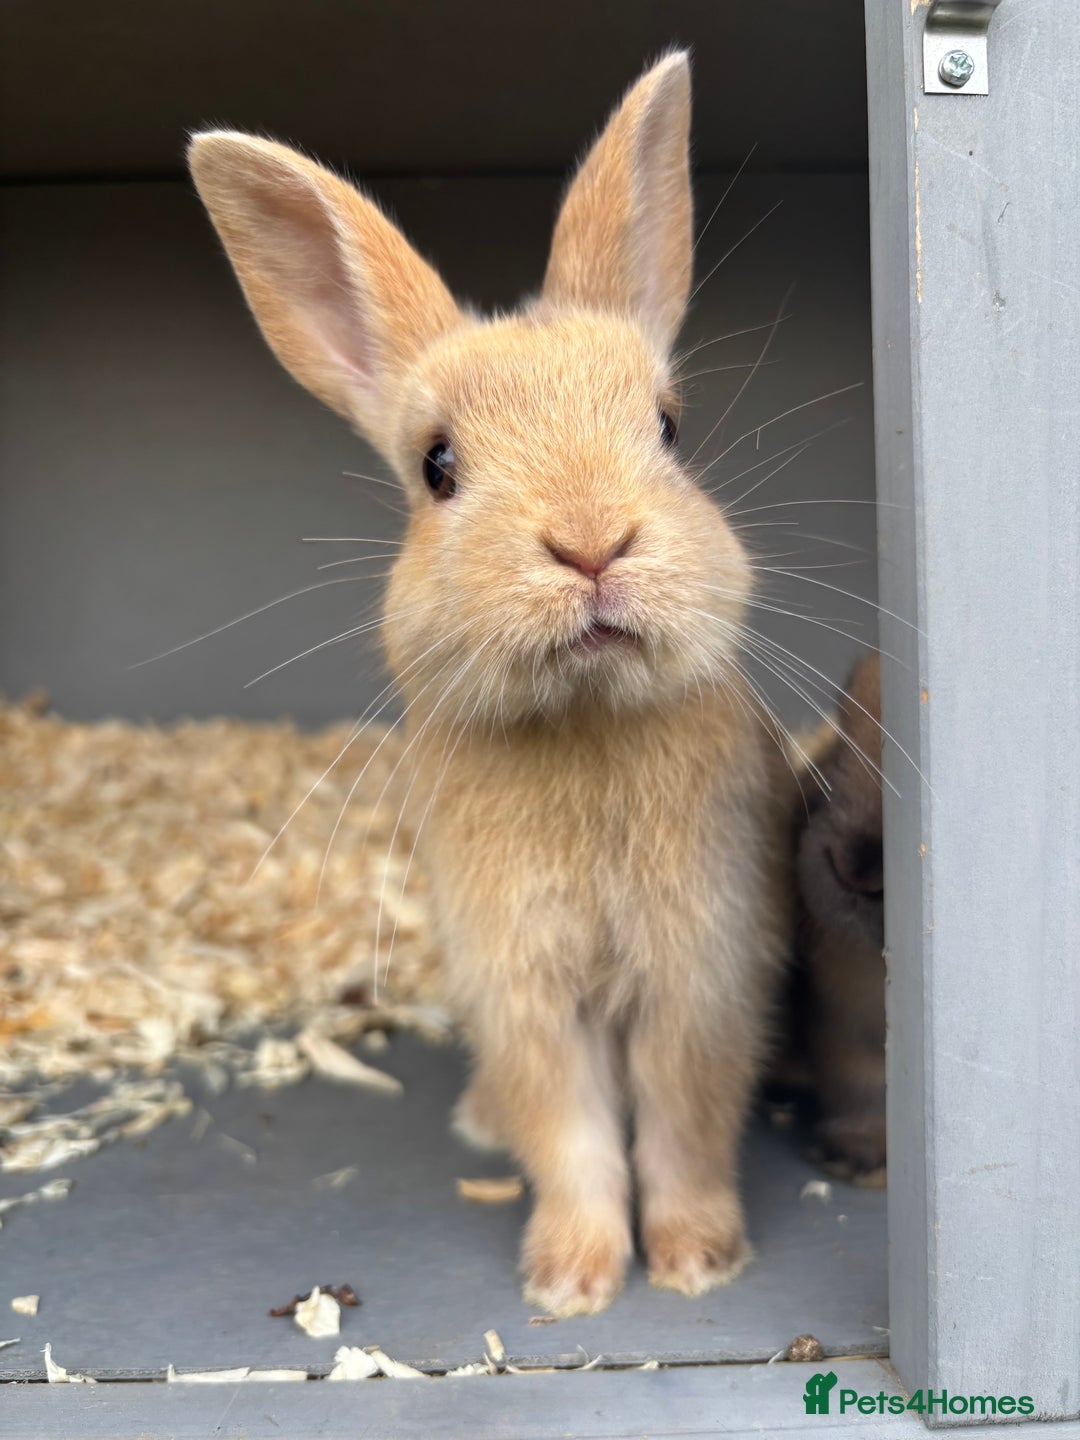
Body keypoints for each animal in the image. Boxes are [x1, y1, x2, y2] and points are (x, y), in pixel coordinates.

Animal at [188, 52, 793, 1317]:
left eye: (670, 428)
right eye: (437, 466)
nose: (590, 543)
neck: (585, 719)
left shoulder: (701, 977)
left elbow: (682, 1125)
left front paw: (697, 1265)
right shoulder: (523, 995)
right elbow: (570, 1135)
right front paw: (570, 1280)